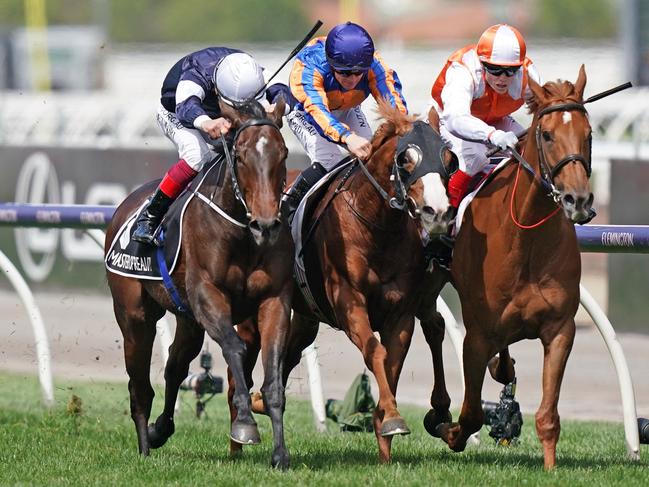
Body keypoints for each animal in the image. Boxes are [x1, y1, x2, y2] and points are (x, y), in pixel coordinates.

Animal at [104, 98, 294, 468]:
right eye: (240, 156)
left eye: (283, 154)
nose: (266, 225)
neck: (241, 233)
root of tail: (126, 205)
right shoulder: (208, 295)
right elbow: (235, 348)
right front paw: (245, 424)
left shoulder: (275, 300)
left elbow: (274, 374)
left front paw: (280, 454)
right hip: (134, 316)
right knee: (139, 386)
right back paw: (145, 447)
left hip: (188, 320)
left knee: (175, 368)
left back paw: (159, 430)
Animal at [428, 66, 596, 470]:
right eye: (547, 135)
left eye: (589, 133)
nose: (578, 200)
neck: (526, 238)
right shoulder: (476, 336)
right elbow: (471, 414)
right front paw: (448, 429)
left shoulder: (560, 329)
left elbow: (548, 416)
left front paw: (550, 467)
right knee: (434, 327)